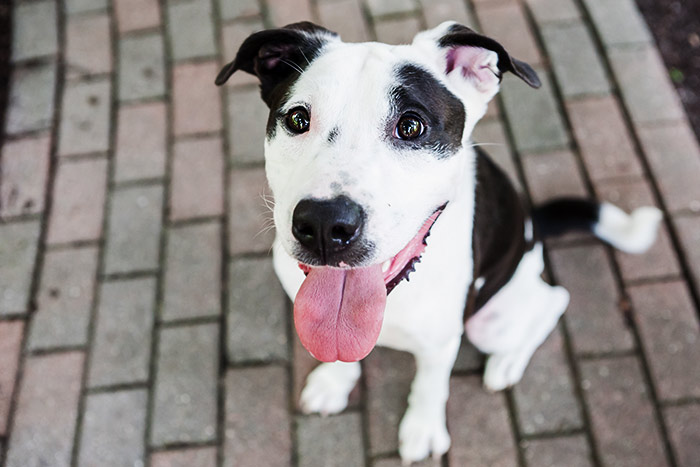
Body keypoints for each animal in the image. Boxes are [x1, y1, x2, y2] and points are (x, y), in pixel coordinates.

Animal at [216, 21, 662, 463]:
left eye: (411, 126)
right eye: (297, 119)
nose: (325, 225)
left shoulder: (441, 342)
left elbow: (431, 385)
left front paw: (423, 429)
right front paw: (334, 381)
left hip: (493, 320)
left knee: (555, 300)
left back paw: (506, 363)